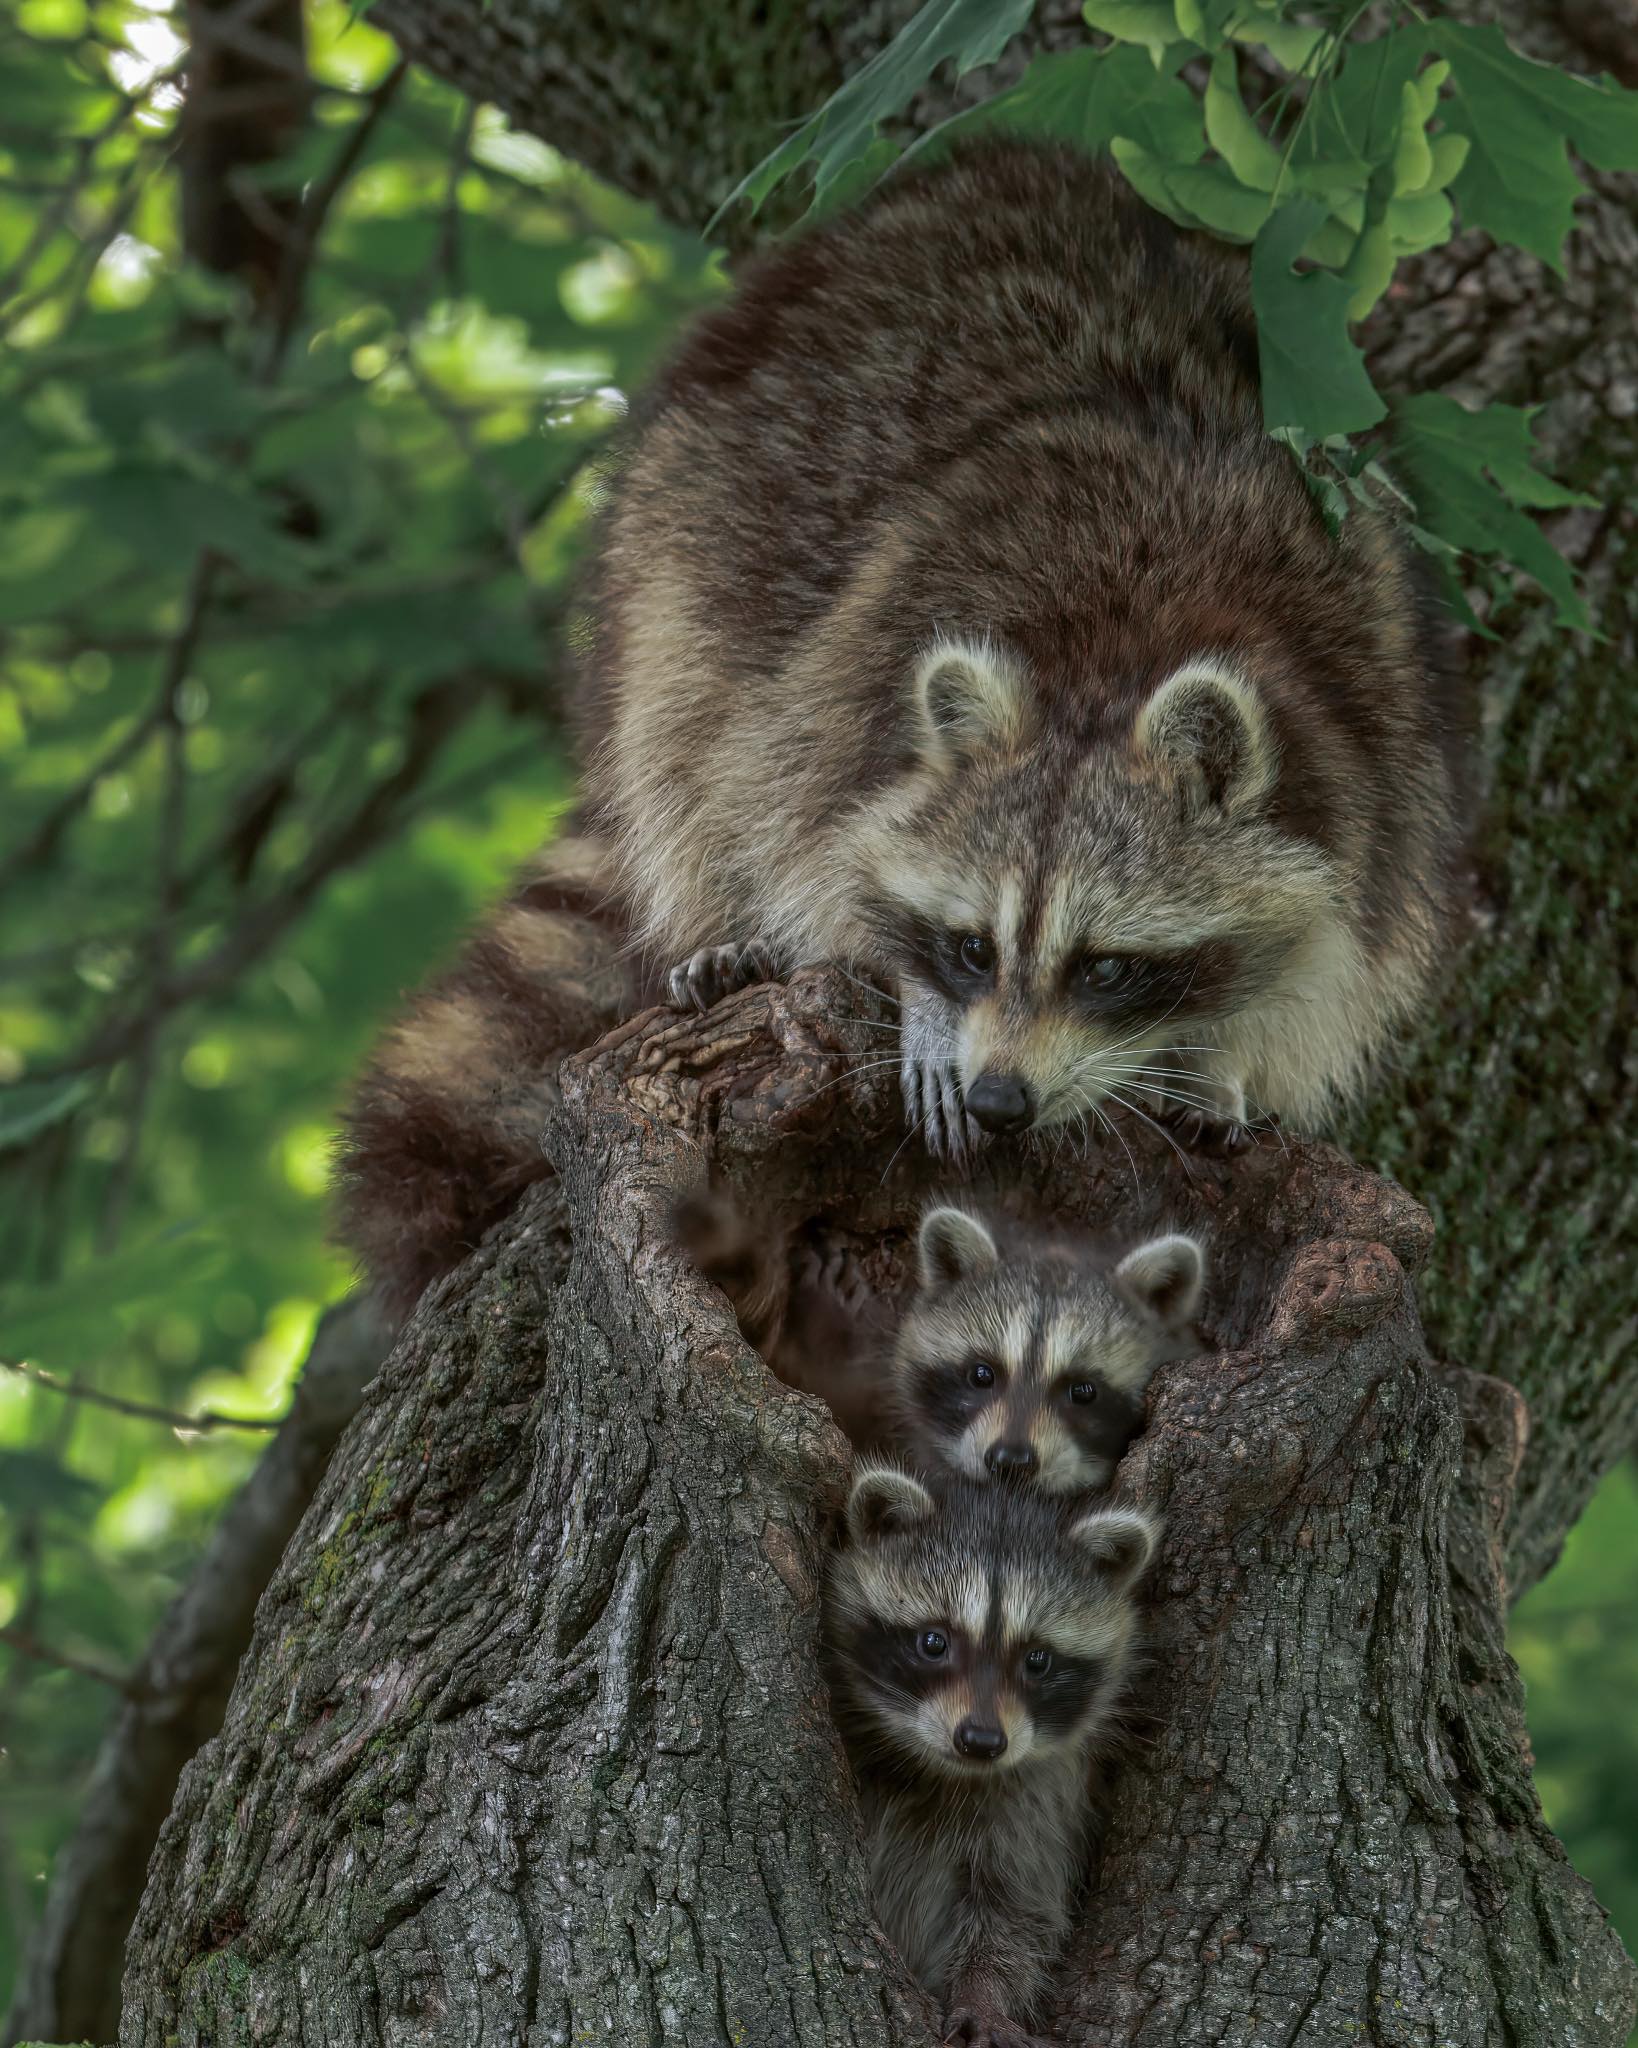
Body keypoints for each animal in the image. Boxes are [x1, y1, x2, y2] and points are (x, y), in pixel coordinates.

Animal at [580, 138, 1468, 1160]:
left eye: (1107, 966)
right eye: (973, 948)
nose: (999, 1100)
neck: (1115, 656)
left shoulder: (1373, 733)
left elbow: (1337, 939)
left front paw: (1220, 1060)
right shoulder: (856, 669)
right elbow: (814, 827)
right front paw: (917, 994)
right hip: (686, 510)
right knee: (679, 722)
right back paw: (720, 925)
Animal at [826, 1464, 1159, 2048]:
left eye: (1038, 1659)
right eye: (933, 1642)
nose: (981, 1741)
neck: (945, 1768)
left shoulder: (1039, 1802)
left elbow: (1015, 1912)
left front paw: (985, 1994)